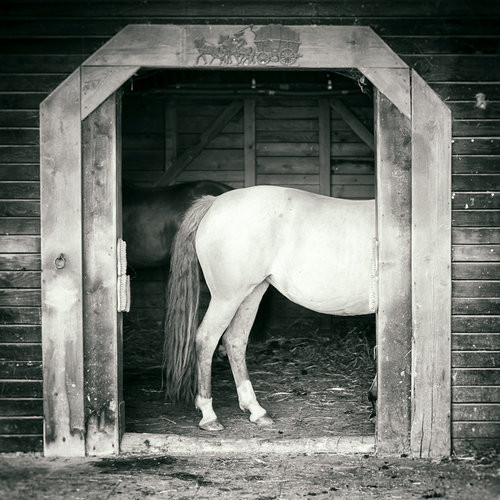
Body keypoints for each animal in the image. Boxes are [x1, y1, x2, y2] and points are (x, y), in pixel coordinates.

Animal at [162, 186, 376, 432]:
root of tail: (214, 202)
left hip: (251, 294)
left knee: (235, 340)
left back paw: (255, 410)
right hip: (227, 298)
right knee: (206, 339)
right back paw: (209, 415)